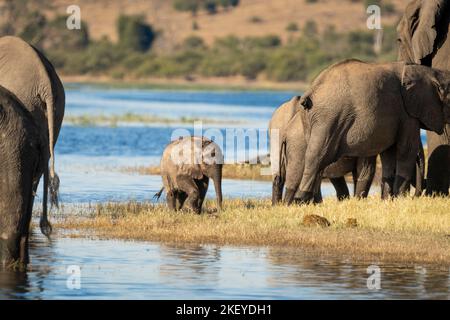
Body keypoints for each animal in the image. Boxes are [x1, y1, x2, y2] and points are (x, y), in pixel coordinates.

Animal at [294, 60, 448, 204]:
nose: (417, 195)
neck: (423, 70)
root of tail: (310, 91)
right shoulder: (407, 113)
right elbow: (406, 149)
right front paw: (400, 200)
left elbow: (389, 154)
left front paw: (387, 200)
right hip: (329, 118)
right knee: (318, 156)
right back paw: (301, 200)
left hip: (312, 119)